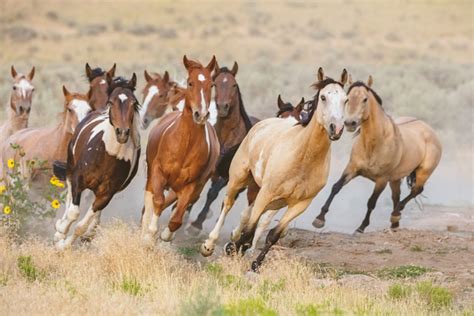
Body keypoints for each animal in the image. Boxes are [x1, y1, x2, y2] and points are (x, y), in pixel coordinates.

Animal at [53, 74, 141, 249]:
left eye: (134, 103)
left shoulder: (106, 194)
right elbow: (73, 212)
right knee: (68, 198)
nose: (122, 133)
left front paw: (66, 245)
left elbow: (82, 225)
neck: (109, 155)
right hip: (71, 167)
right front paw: (60, 234)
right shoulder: (78, 180)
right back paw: (60, 227)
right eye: (111, 102)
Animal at [141, 55, 220, 243]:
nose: (201, 114)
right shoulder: (157, 172)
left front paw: (165, 234)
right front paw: (149, 234)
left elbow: (176, 218)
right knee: (151, 201)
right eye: (191, 83)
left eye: (211, 84)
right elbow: (158, 201)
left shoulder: (190, 186)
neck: (185, 145)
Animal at [200, 67, 348, 272]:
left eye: (346, 99)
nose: (336, 128)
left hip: (274, 200)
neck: (303, 158)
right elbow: (250, 227)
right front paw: (232, 249)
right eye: (324, 97)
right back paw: (209, 245)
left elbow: (273, 234)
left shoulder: (300, 204)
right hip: (239, 178)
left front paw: (254, 264)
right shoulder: (266, 192)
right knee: (228, 204)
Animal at [312, 74, 442, 232]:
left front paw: (361, 227)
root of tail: (429, 130)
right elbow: (336, 187)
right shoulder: (352, 169)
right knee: (396, 196)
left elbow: (371, 202)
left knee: (416, 190)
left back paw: (395, 214)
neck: (374, 144)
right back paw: (394, 223)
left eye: (365, 99)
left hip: (423, 172)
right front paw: (319, 219)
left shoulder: (381, 179)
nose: (350, 123)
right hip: (395, 179)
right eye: (348, 98)